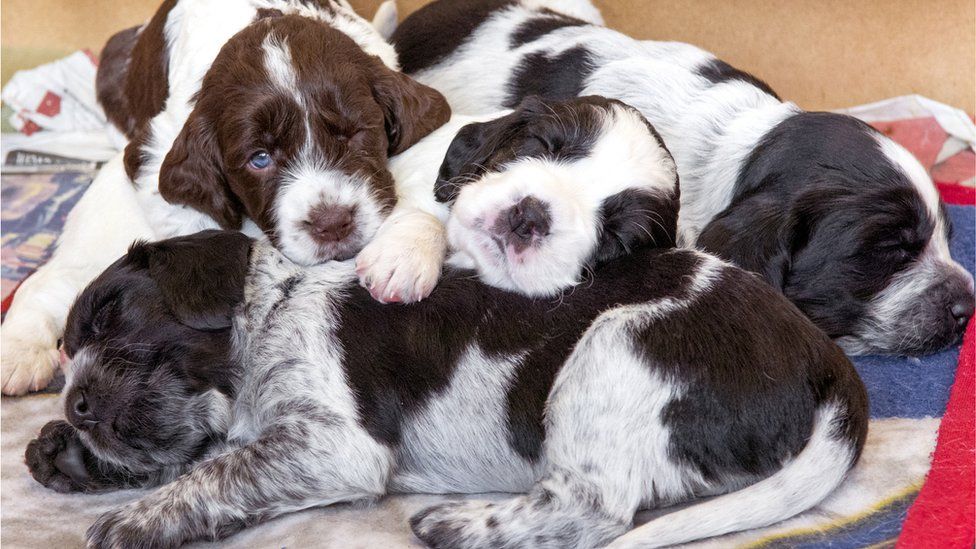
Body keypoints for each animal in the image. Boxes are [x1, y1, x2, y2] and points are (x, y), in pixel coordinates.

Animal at [0, 0, 450, 394]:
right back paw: (19, 353)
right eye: (259, 159)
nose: (332, 224)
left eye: (354, 134)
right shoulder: (150, 157)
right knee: (45, 280)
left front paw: (403, 254)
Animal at [26, 226, 864, 544]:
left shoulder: (333, 444)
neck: (272, 309)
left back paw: (458, 524)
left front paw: (137, 517)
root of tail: (824, 357)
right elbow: (199, 454)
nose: (76, 403)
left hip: (614, 349)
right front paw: (62, 451)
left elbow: (218, 468)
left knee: (593, 508)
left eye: (108, 313)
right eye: (65, 355)